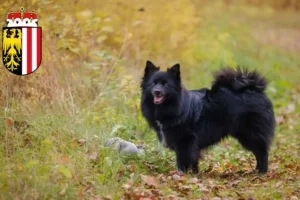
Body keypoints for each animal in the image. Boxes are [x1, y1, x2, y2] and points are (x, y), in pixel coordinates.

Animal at [139, 60, 276, 173]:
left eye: (166, 85)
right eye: (153, 84)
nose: (157, 91)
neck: (175, 106)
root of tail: (254, 88)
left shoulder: (185, 140)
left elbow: (183, 160)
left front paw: (180, 175)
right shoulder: (193, 144)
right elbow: (194, 160)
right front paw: (194, 174)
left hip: (250, 134)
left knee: (262, 152)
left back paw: (261, 172)